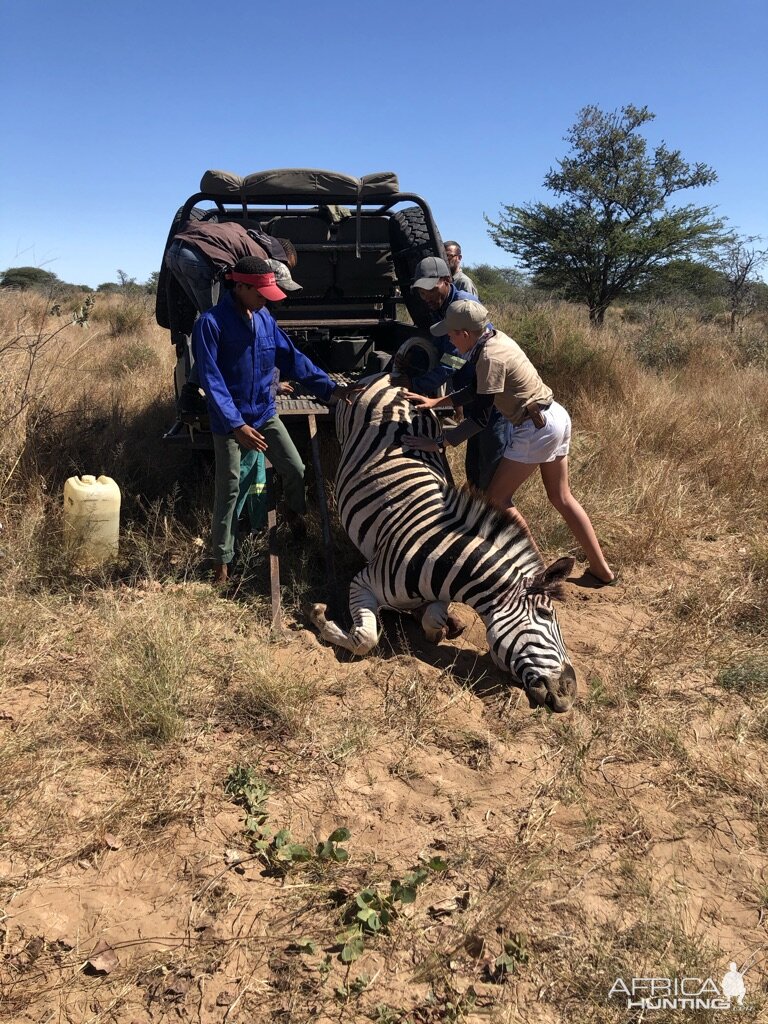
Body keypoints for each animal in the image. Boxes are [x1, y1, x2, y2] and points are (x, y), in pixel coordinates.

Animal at [311, 374, 577, 712]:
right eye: (545, 615)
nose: (571, 692)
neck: (446, 557)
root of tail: (392, 379)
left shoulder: (440, 594)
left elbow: (434, 618)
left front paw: (433, 627)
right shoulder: (363, 581)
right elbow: (365, 639)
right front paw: (323, 621)